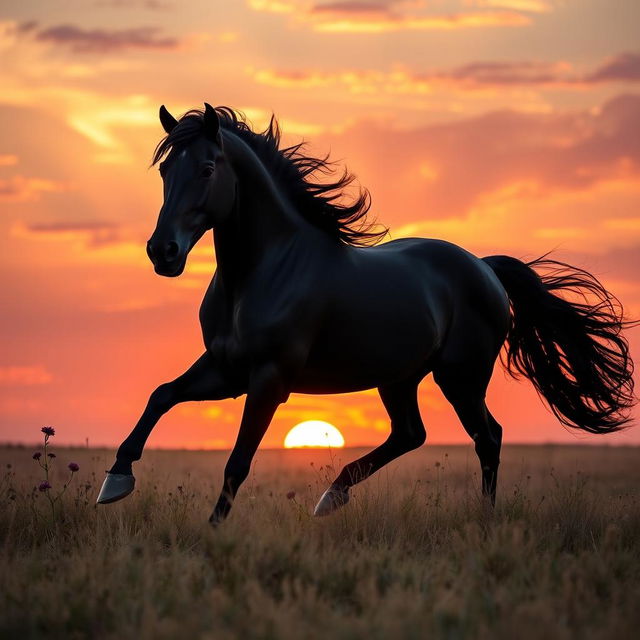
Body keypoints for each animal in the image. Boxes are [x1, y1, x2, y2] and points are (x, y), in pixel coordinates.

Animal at [96, 104, 636, 524]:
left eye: (208, 169)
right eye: (166, 171)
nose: (162, 252)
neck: (265, 270)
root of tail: (484, 268)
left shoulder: (269, 379)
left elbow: (237, 461)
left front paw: (212, 531)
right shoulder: (225, 371)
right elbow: (161, 396)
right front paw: (116, 480)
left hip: (460, 377)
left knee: (488, 437)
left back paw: (483, 520)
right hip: (400, 378)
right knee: (412, 433)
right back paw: (333, 496)